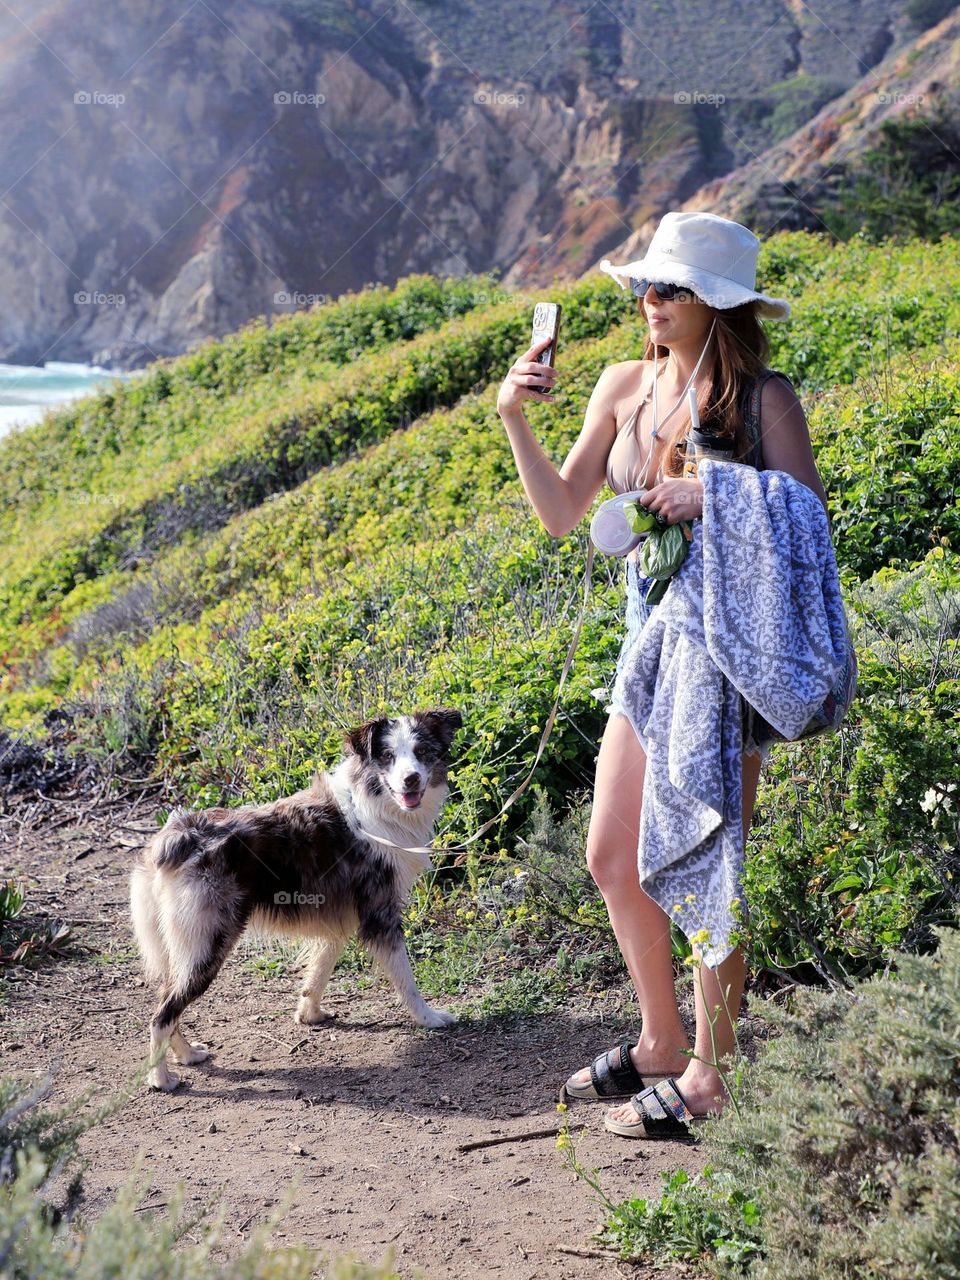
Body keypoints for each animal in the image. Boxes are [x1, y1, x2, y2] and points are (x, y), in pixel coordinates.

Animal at [130, 711, 463, 1090]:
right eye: (387, 756)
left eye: (422, 751)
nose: (411, 780)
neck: (374, 803)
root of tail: (173, 837)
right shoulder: (381, 917)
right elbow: (407, 981)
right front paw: (429, 1018)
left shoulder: (339, 920)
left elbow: (318, 972)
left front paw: (310, 1014)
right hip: (208, 946)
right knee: (162, 1014)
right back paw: (161, 1079)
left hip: (186, 949)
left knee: (168, 1002)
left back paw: (187, 1055)